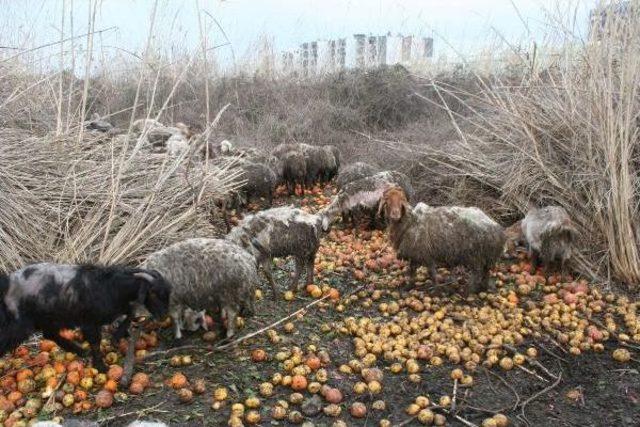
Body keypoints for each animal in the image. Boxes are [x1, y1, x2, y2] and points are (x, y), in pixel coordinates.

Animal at [0, 262, 170, 372]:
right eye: (153, 293)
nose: (164, 315)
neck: (109, 286)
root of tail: (7, 284)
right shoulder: (89, 322)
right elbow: (95, 342)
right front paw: (101, 367)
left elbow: (130, 313)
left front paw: (117, 336)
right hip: (20, 324)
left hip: (49, 318)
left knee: (50, 334)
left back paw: (80, 351)